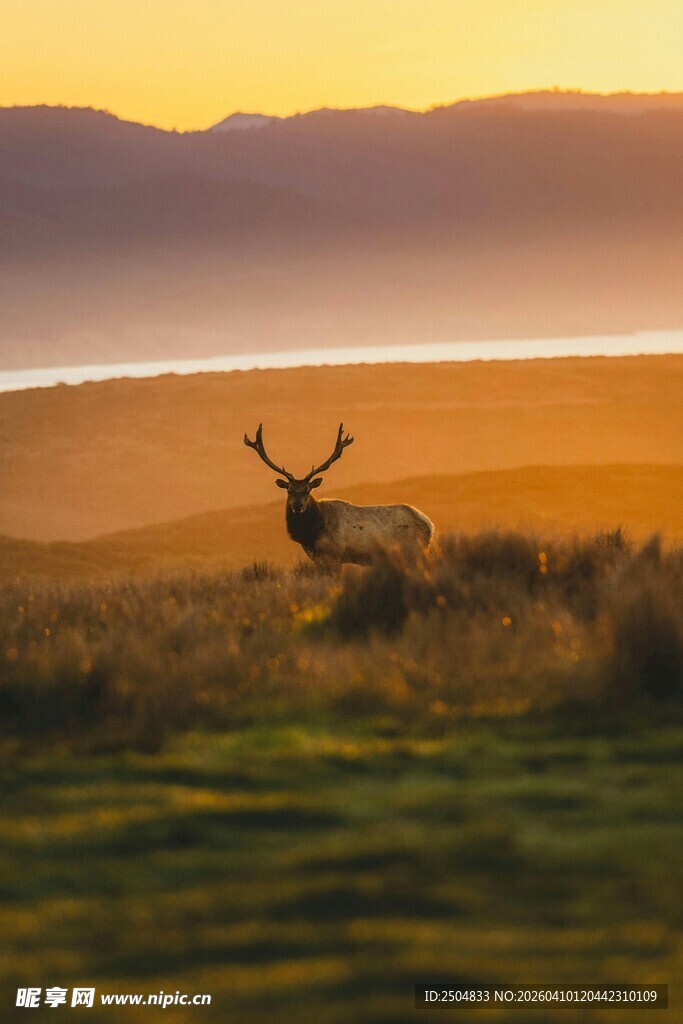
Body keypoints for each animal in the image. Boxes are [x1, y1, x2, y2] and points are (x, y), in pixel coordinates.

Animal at [244, 423, 434, 568]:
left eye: (307, 490)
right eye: (289, 490)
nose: (297, 506)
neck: (312, 533)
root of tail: (430, 525)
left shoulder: (334, 555)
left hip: (413, 550)